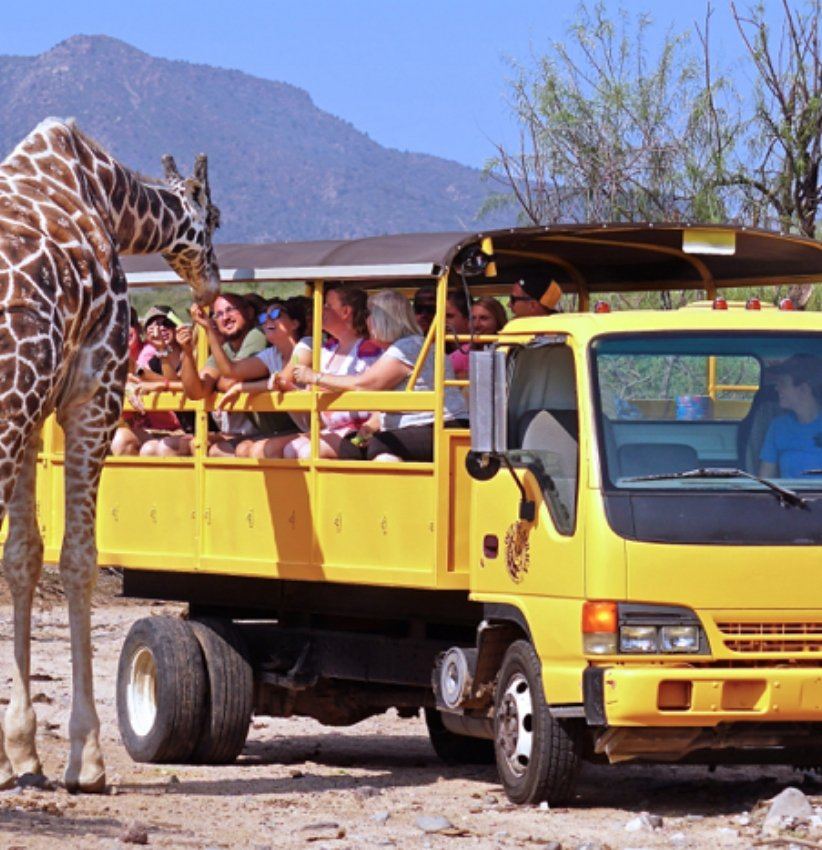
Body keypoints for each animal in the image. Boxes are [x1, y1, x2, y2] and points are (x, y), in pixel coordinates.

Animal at [0, 117, 220, 792]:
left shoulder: (36, 408)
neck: (108, 197)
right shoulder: (93, 390)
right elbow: (78, 558)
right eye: (215, 216)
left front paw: (22, 753)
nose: (212, 284)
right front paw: (88, 758)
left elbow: (24, 555)